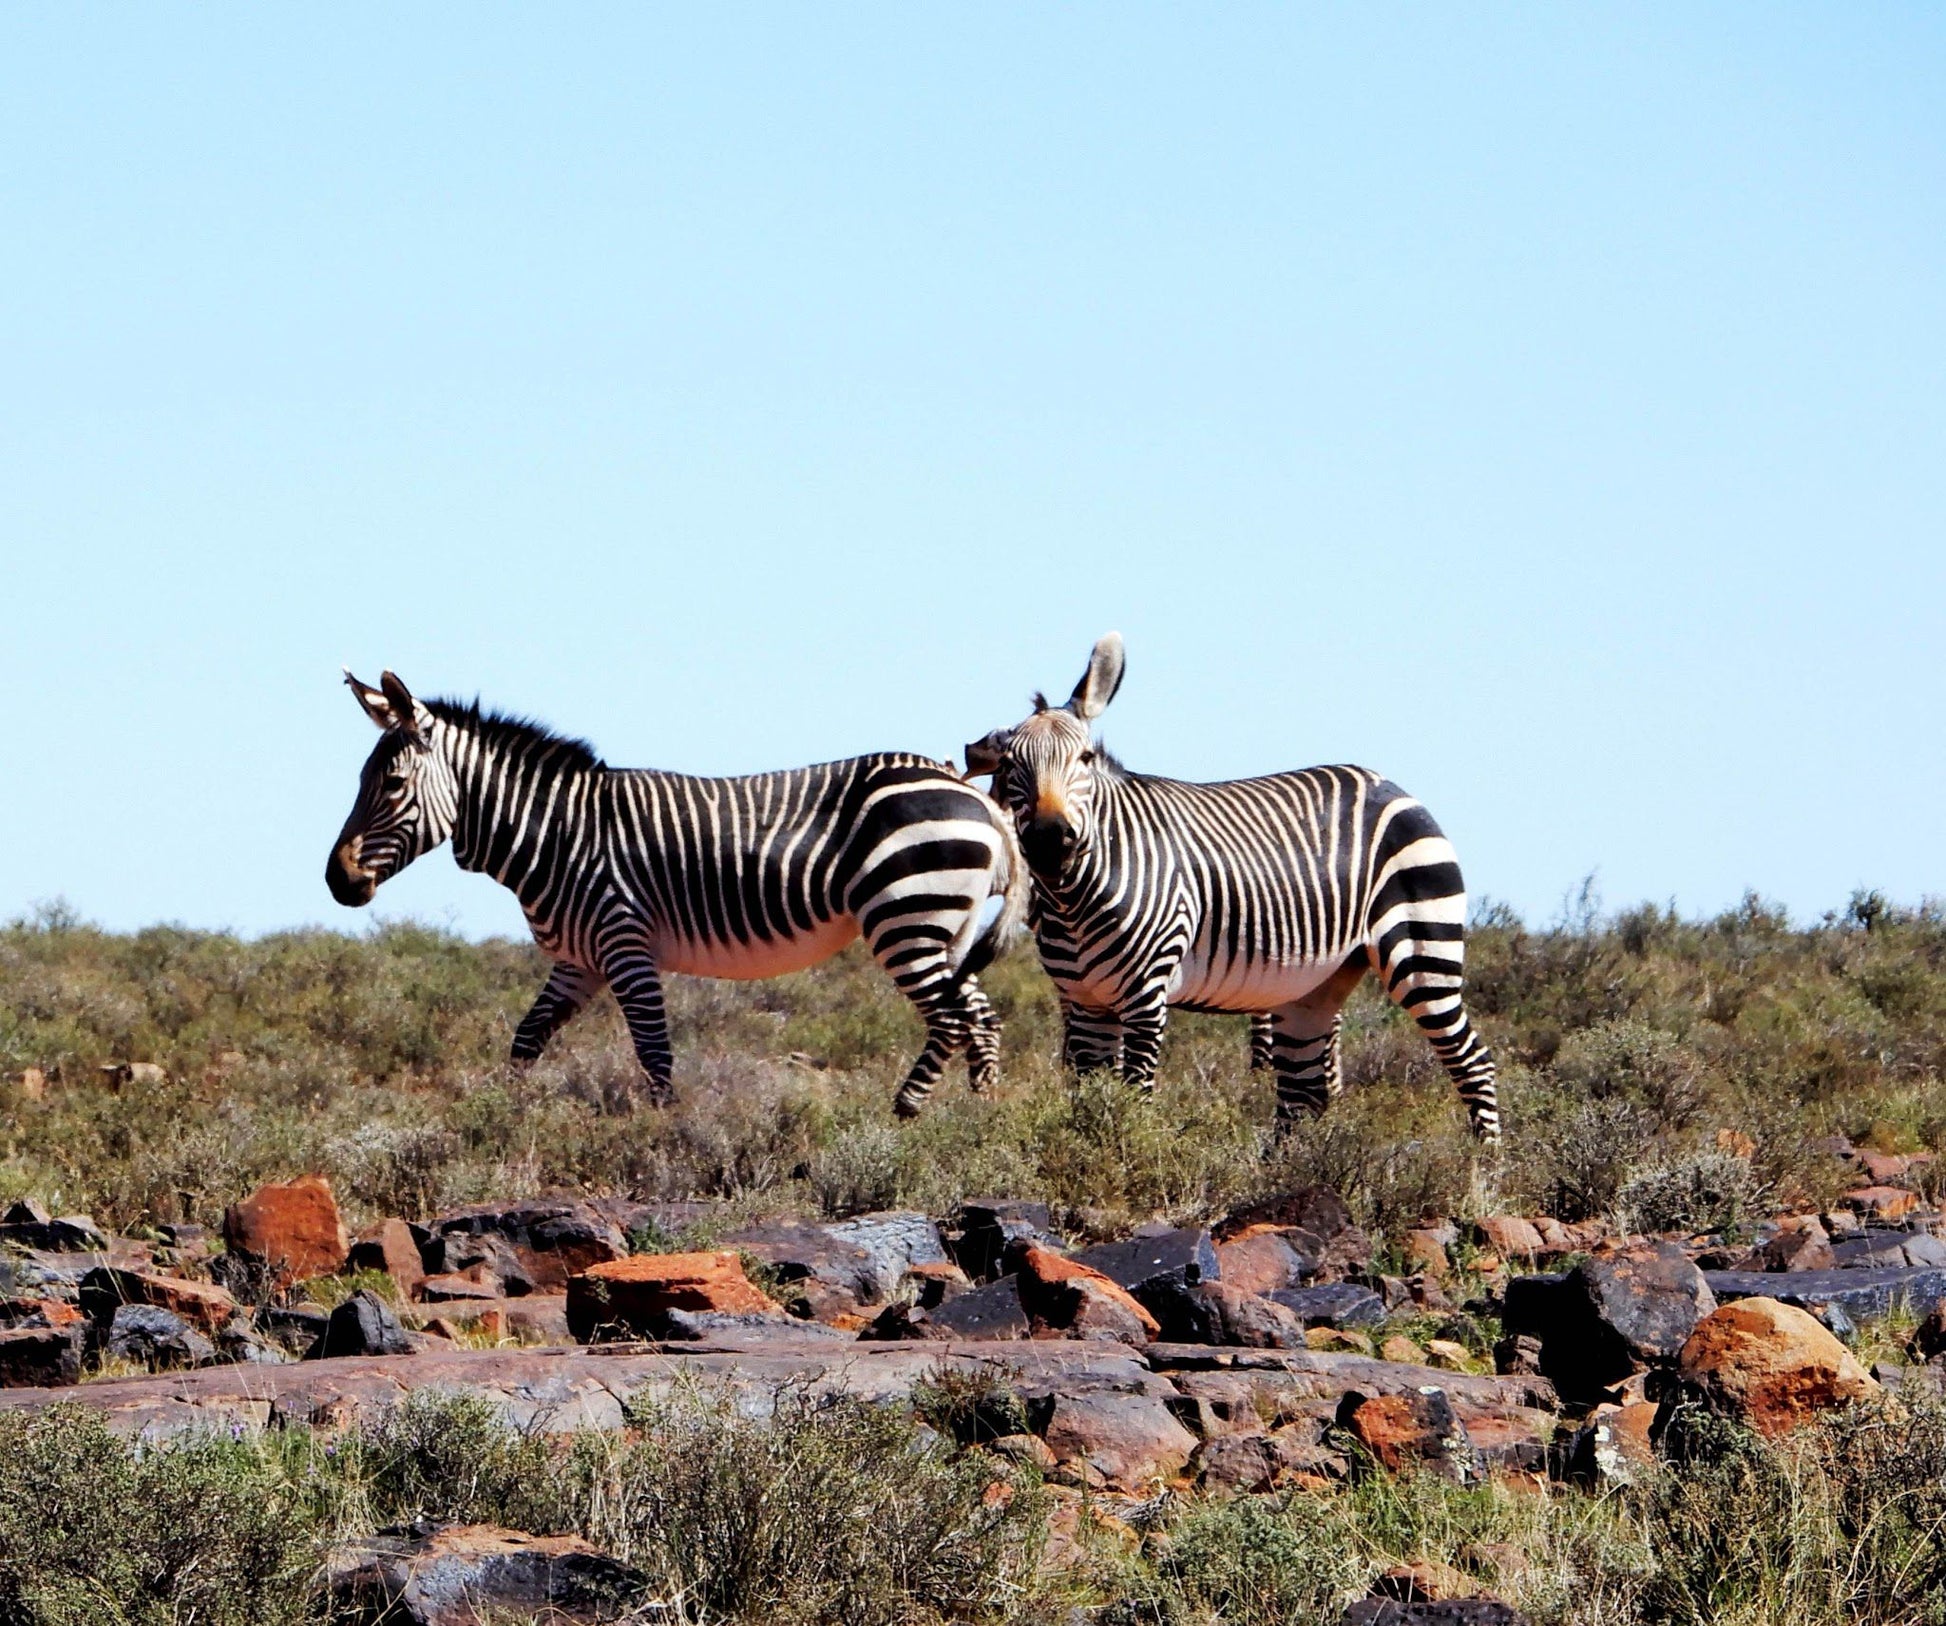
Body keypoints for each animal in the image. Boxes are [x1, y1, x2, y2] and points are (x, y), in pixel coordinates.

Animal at [330, 665, 1035, 1112]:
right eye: (361, 780)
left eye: (391, 784)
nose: (337, 881)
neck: (558, 831)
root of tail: (974, 792)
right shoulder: (579, 961)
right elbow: (526, 1040)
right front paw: (503, 1119)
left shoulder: (624, 943)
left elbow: (654, 1055)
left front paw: (665, 1135)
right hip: (944, 927)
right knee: (980, 1016)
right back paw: (982, 1117)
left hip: (906, 916)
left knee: (951, 1018)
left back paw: (905, 1114)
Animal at [965, 634, 1494, 1143]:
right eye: (1010, 764)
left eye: (1085, 757)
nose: (1049, 840)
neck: (1073, 900)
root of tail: (1391, 785)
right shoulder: (1085, 1002)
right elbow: (1086, 1106)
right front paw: (1085, 1161)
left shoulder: (1145, 993)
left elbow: (1132, 1101)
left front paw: (1125, 1160)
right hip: (1312, 986)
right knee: (1304, 1096)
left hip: (1423, 950)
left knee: (1474, 1062)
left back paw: (1480, 1166)